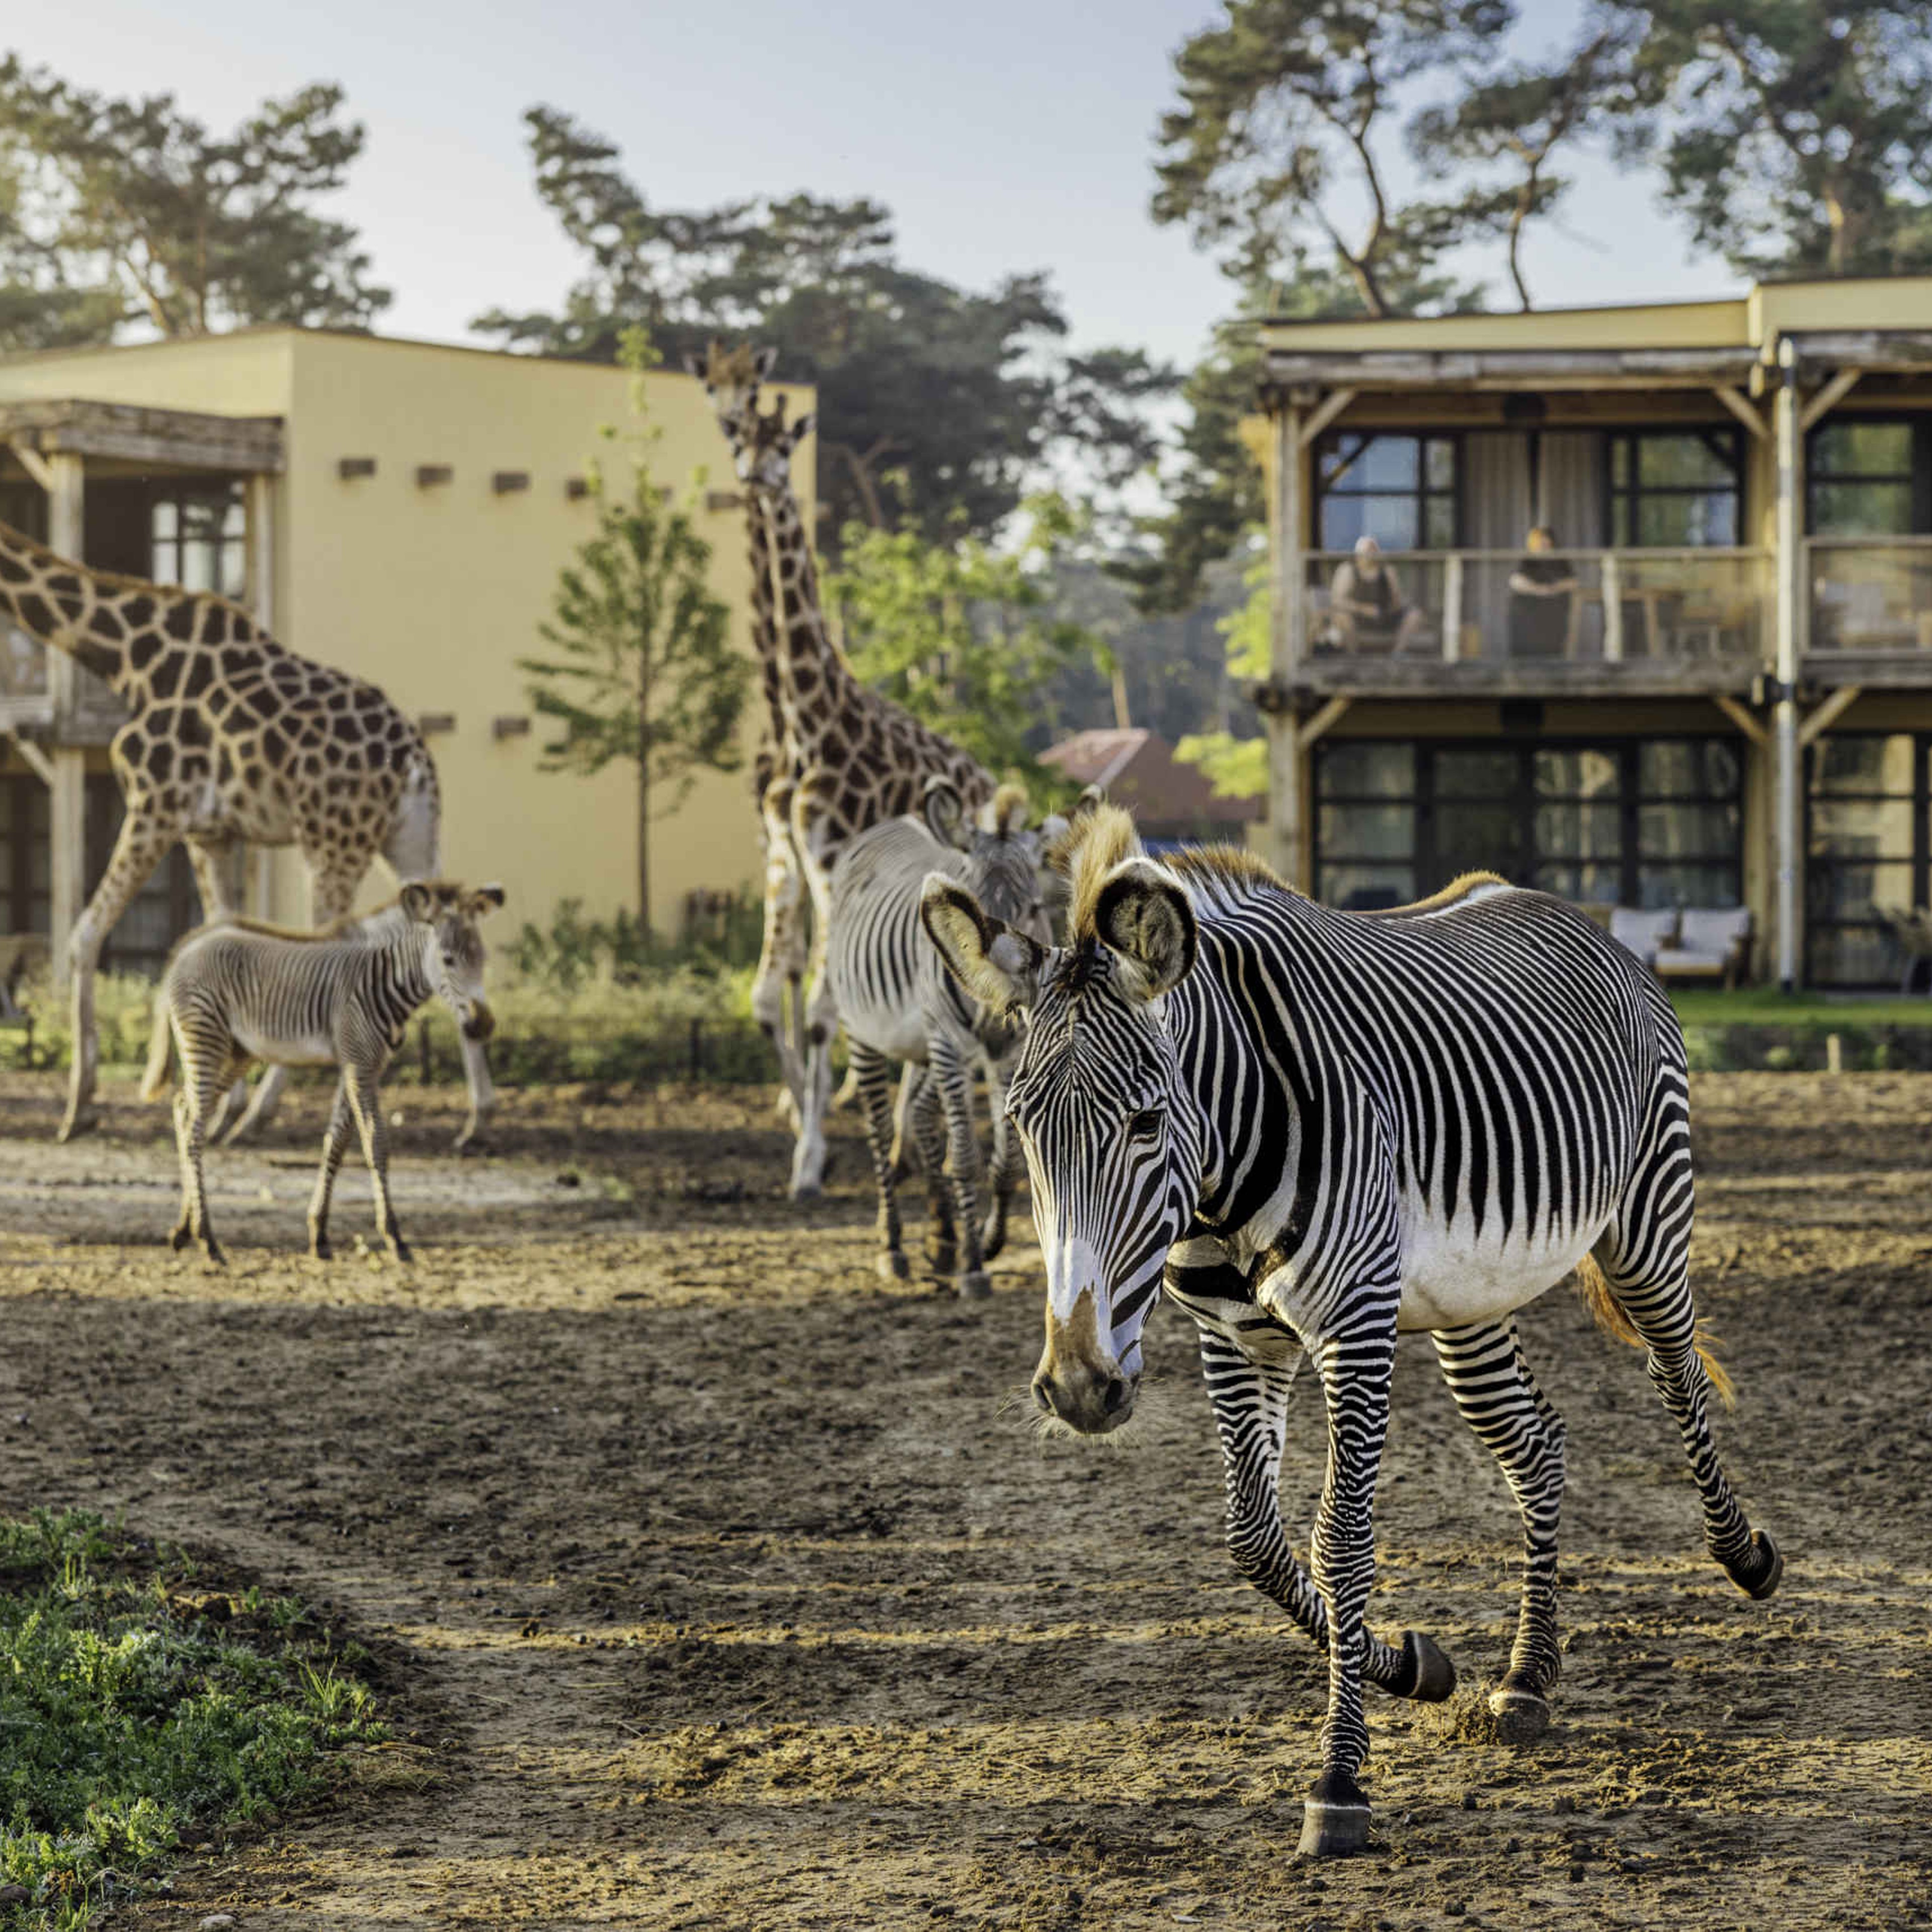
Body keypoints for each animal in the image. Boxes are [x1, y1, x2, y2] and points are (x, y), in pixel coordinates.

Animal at [141, 881, 504, 1265]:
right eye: (449, 960)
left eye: (483, 960)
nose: (483, 1026)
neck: (381, 980)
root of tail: (186, 949)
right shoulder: (360, 1063)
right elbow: (376, 1141)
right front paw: (394, 1236)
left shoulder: (360, 1064)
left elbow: (337, 1142)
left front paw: (320, 1232)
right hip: (206, 1038)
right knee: (195, 1130)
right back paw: (208, 1239)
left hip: (237, 1052)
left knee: (184, 1109)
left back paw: (184, 1230)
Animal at [828, 778, 1047, 1296]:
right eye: (969, 914)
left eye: (1034, 910)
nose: (998, 1010)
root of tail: (890, 824)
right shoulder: (951, 1041)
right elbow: (965, 1156)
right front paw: (974, 1265)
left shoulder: (1008, 1050)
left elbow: (1008, 1160)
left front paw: (987, 1241)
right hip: (866, 1032)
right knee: (882, 1130)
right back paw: (894, 1246)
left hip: (925, 1048)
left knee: (922, 1119)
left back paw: (941, 1236)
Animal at [920, 805, 1782, 1858]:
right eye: (1021, 1125)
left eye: (1147, 1122)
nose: (1079, 1387)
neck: (1220, 1169)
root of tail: (1553, 904)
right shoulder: (1235, 1339)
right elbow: (1253, 1540)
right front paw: (1411, 1663)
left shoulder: (1356, 1326)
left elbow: (1340, 1540)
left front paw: (1339, 1782)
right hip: (1469, 1303)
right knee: (1536, 1445)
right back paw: (1527, 1677)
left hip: (1648, 1221)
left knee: (1677, 1371)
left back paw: (1745, 1555)